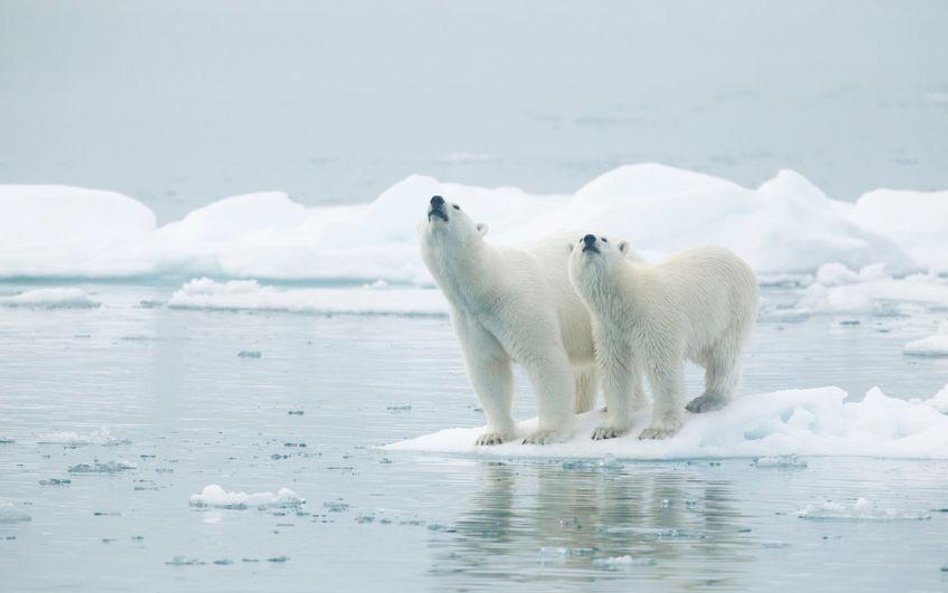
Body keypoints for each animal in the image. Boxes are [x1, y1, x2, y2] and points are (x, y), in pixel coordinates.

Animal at [418, 195, 596, 444]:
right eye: (424, 206)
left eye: (456, 206)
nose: (436, 200)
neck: (489, 285)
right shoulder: (470, 319)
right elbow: (488, 368)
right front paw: (493, 436)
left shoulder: (519, 305)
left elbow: (544, 359)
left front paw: (544, 434)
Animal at [568, 235, 760, 440]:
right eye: (579, 239)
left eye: (604, 239)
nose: (589, 238)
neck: (630, 299)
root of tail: (739, 259)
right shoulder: (610, 330)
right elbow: (616, 369)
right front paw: (607, 429)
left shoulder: (654, 321)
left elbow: (663, 369)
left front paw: (657, 430)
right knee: (705, 354)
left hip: (731, 308)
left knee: (722, 356)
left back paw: (706, 400)